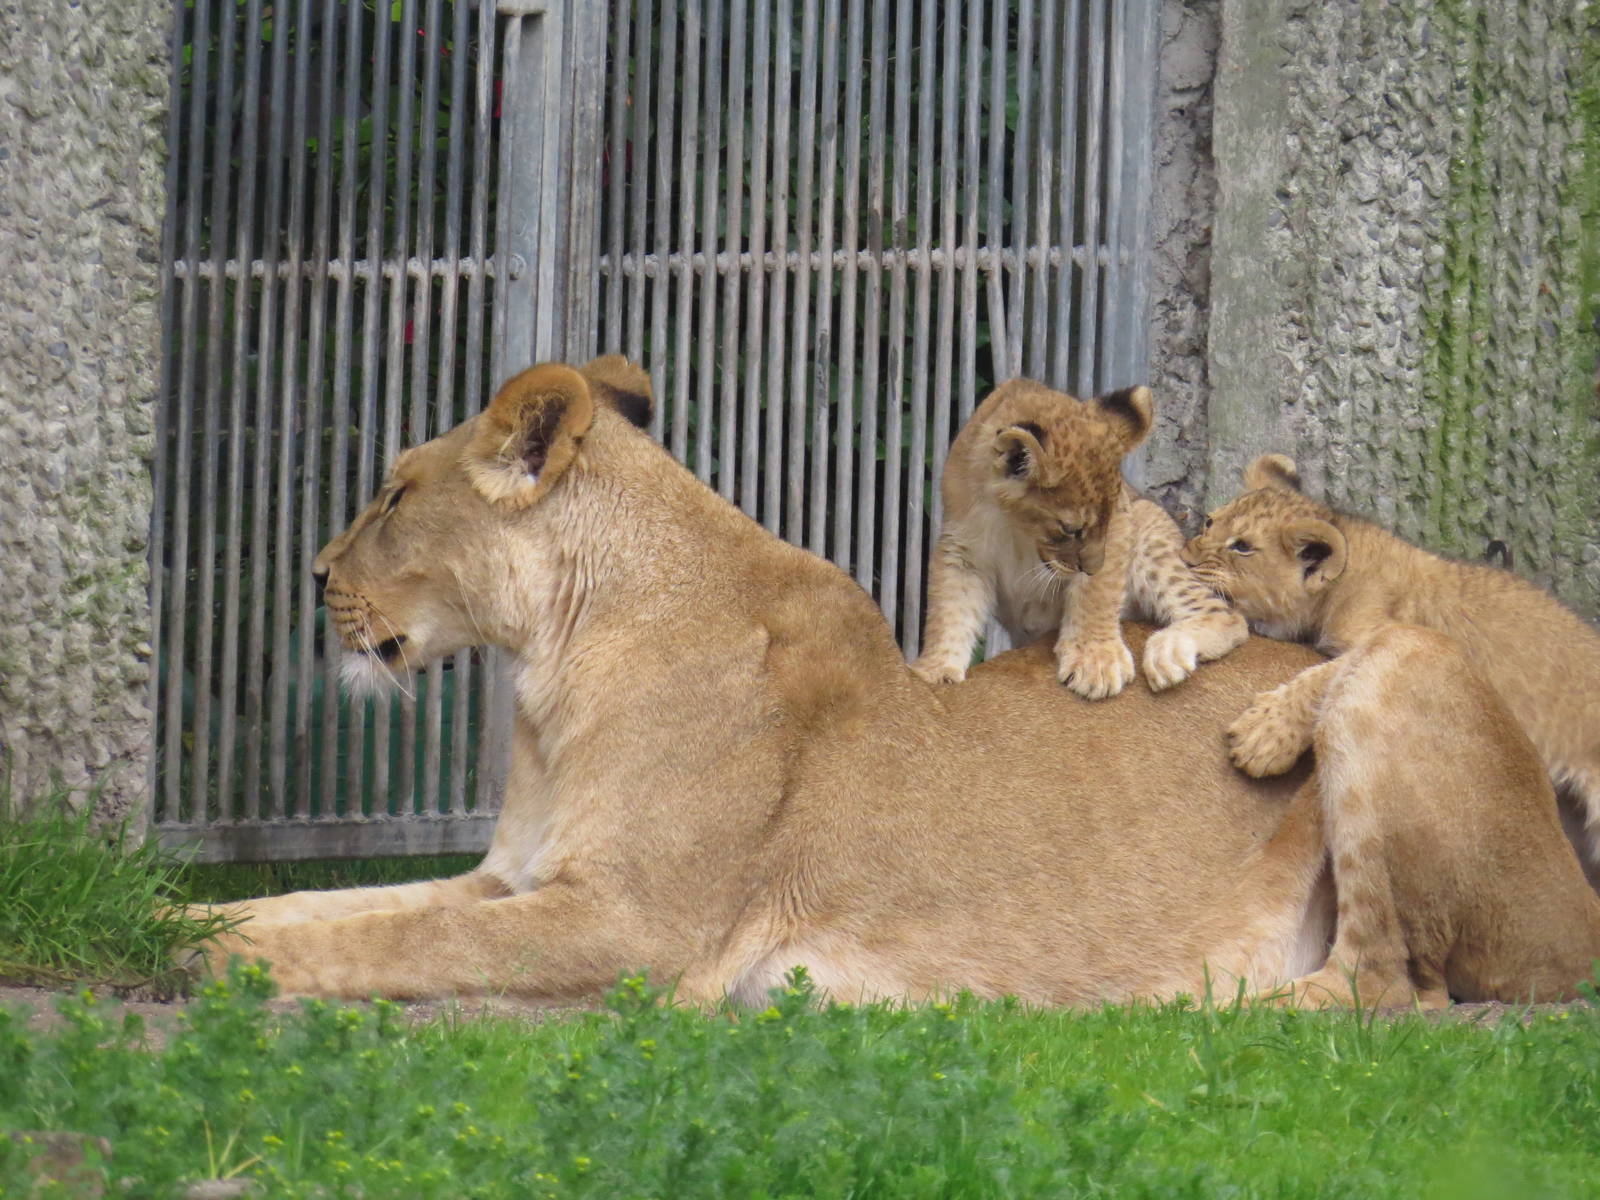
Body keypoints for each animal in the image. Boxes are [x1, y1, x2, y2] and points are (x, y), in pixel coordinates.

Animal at [912, 379, 1246, 698]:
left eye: (1108, 520)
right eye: (1071, 529)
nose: (1092, 567)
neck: (1014, 525)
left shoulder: (1123, 523)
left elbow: (1096, 593)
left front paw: (1095, 661)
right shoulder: (961, 548)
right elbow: (950, 610)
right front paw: (934, 671)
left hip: (1151, 528)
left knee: (1228, 616)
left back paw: (1168, 651)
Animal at [1183, 453, 1600, 864]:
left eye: (1242, 547)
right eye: (1210, 521)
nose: (1184, 559)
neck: (1341, 579)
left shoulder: (1408, 637)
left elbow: (1326, 675)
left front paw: (1264, 738)